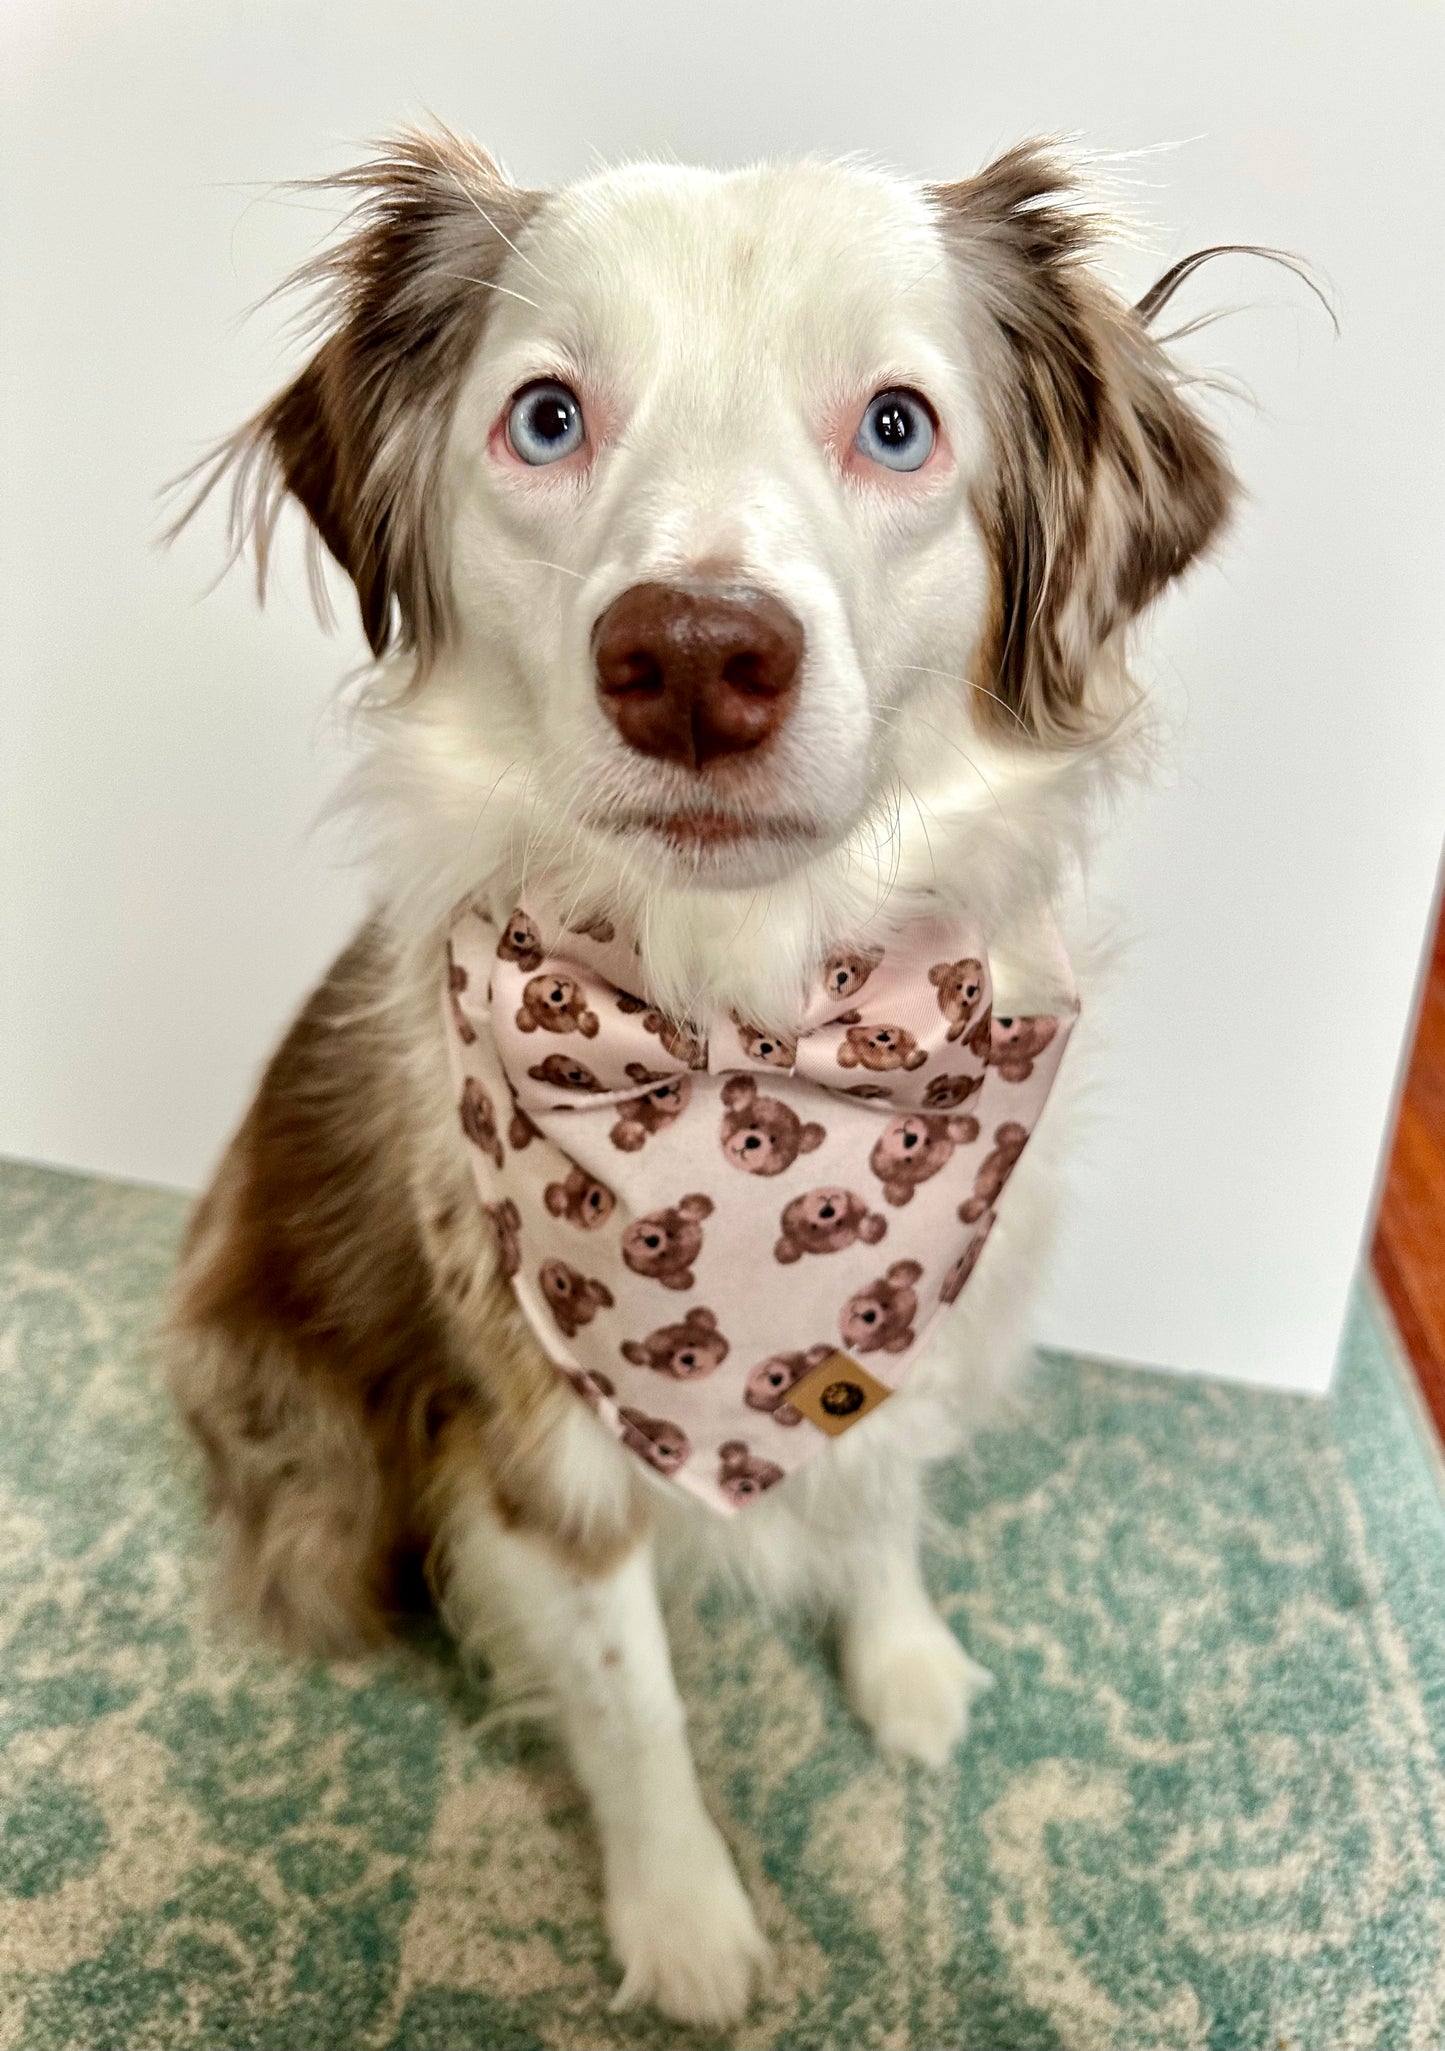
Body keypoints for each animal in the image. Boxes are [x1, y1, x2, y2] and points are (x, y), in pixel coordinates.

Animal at [160, 132, 1237, 2034]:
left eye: (897, 422)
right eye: (545, 417)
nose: (691, 656)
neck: (754, 1043)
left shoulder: (930, 1276)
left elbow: (878, 1482)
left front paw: (904, 1664)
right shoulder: (532, 1447)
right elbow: (630, 1697)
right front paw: (687, 1919)